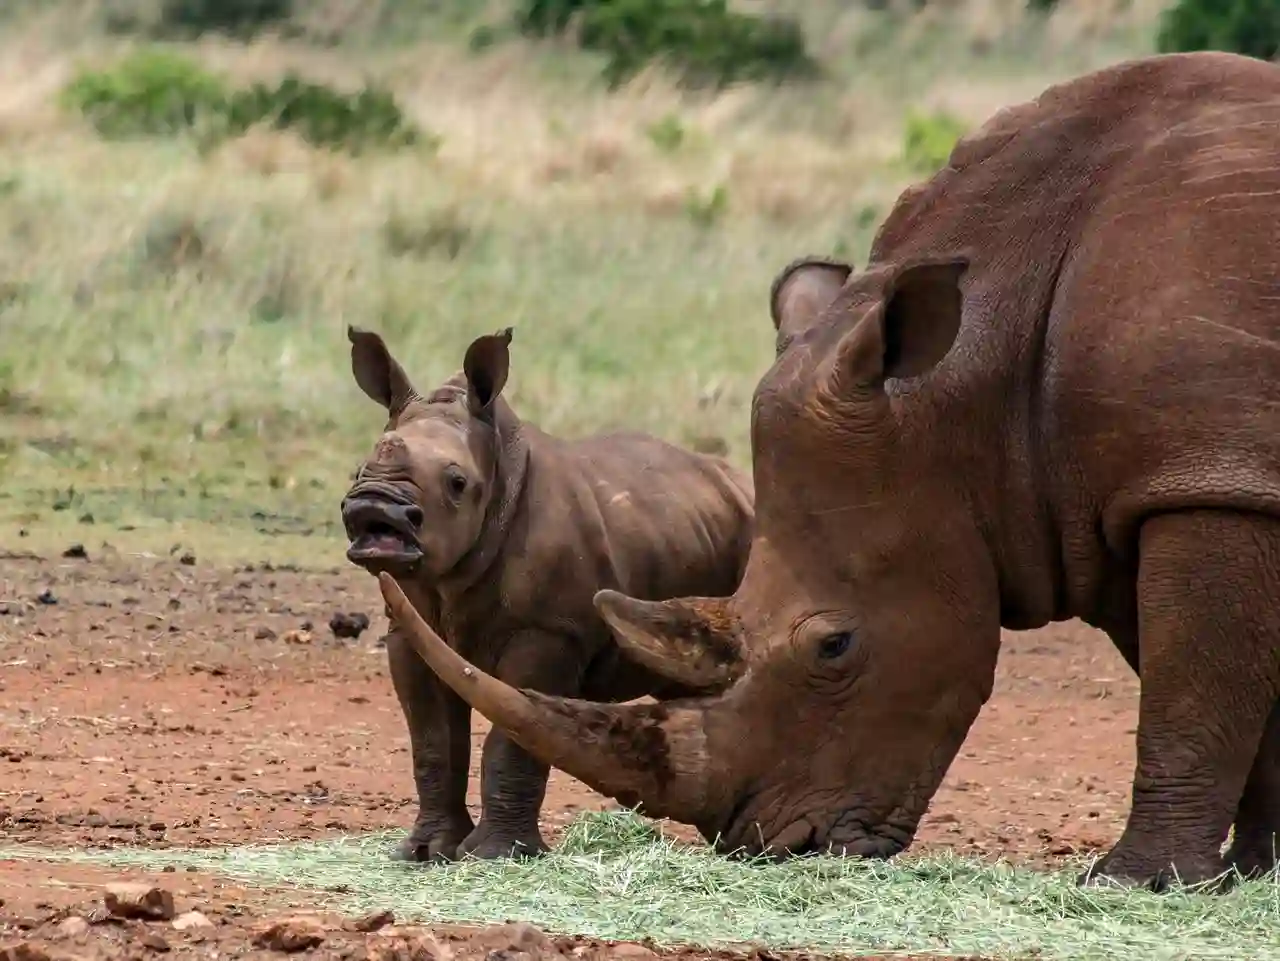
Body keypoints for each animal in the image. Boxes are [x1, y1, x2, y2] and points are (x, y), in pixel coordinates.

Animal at [343, 327, 757, 859]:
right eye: (359, 471)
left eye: (457, 483)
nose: (375, 508)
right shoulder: (407, 622)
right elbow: (432, 738)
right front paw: (424, 853)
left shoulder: (547, 632)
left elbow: (512, 736)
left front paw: (494, 856)